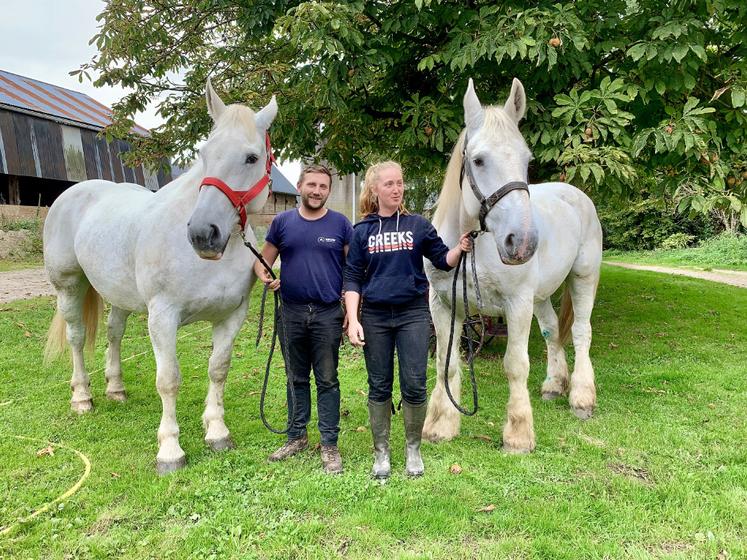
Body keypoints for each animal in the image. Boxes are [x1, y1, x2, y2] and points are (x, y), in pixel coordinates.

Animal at [43, 79, 278, 472]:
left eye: (252, 158)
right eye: (204, 153)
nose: (202, 233)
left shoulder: (232, 315)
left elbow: (218, 368)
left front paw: (217, 432)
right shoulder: (163, 317)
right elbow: (168, 380)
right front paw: (170, 451)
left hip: (118, 295)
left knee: (114, 334)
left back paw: (116, 389)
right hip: (69, 285)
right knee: (77, 337)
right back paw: (82, 397)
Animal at [424, 79, 604, 452]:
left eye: (527, 160)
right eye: (478, 160)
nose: (522, 242)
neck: (472, 245)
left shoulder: (517, 304)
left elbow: (516, 365)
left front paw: (518, 435)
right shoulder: (443, 304)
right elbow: (447, 364)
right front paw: (441, 425)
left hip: (583, 278)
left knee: (581, 332)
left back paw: (582, 397)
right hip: (541, 296)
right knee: (552, 331)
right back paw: (554, 385)